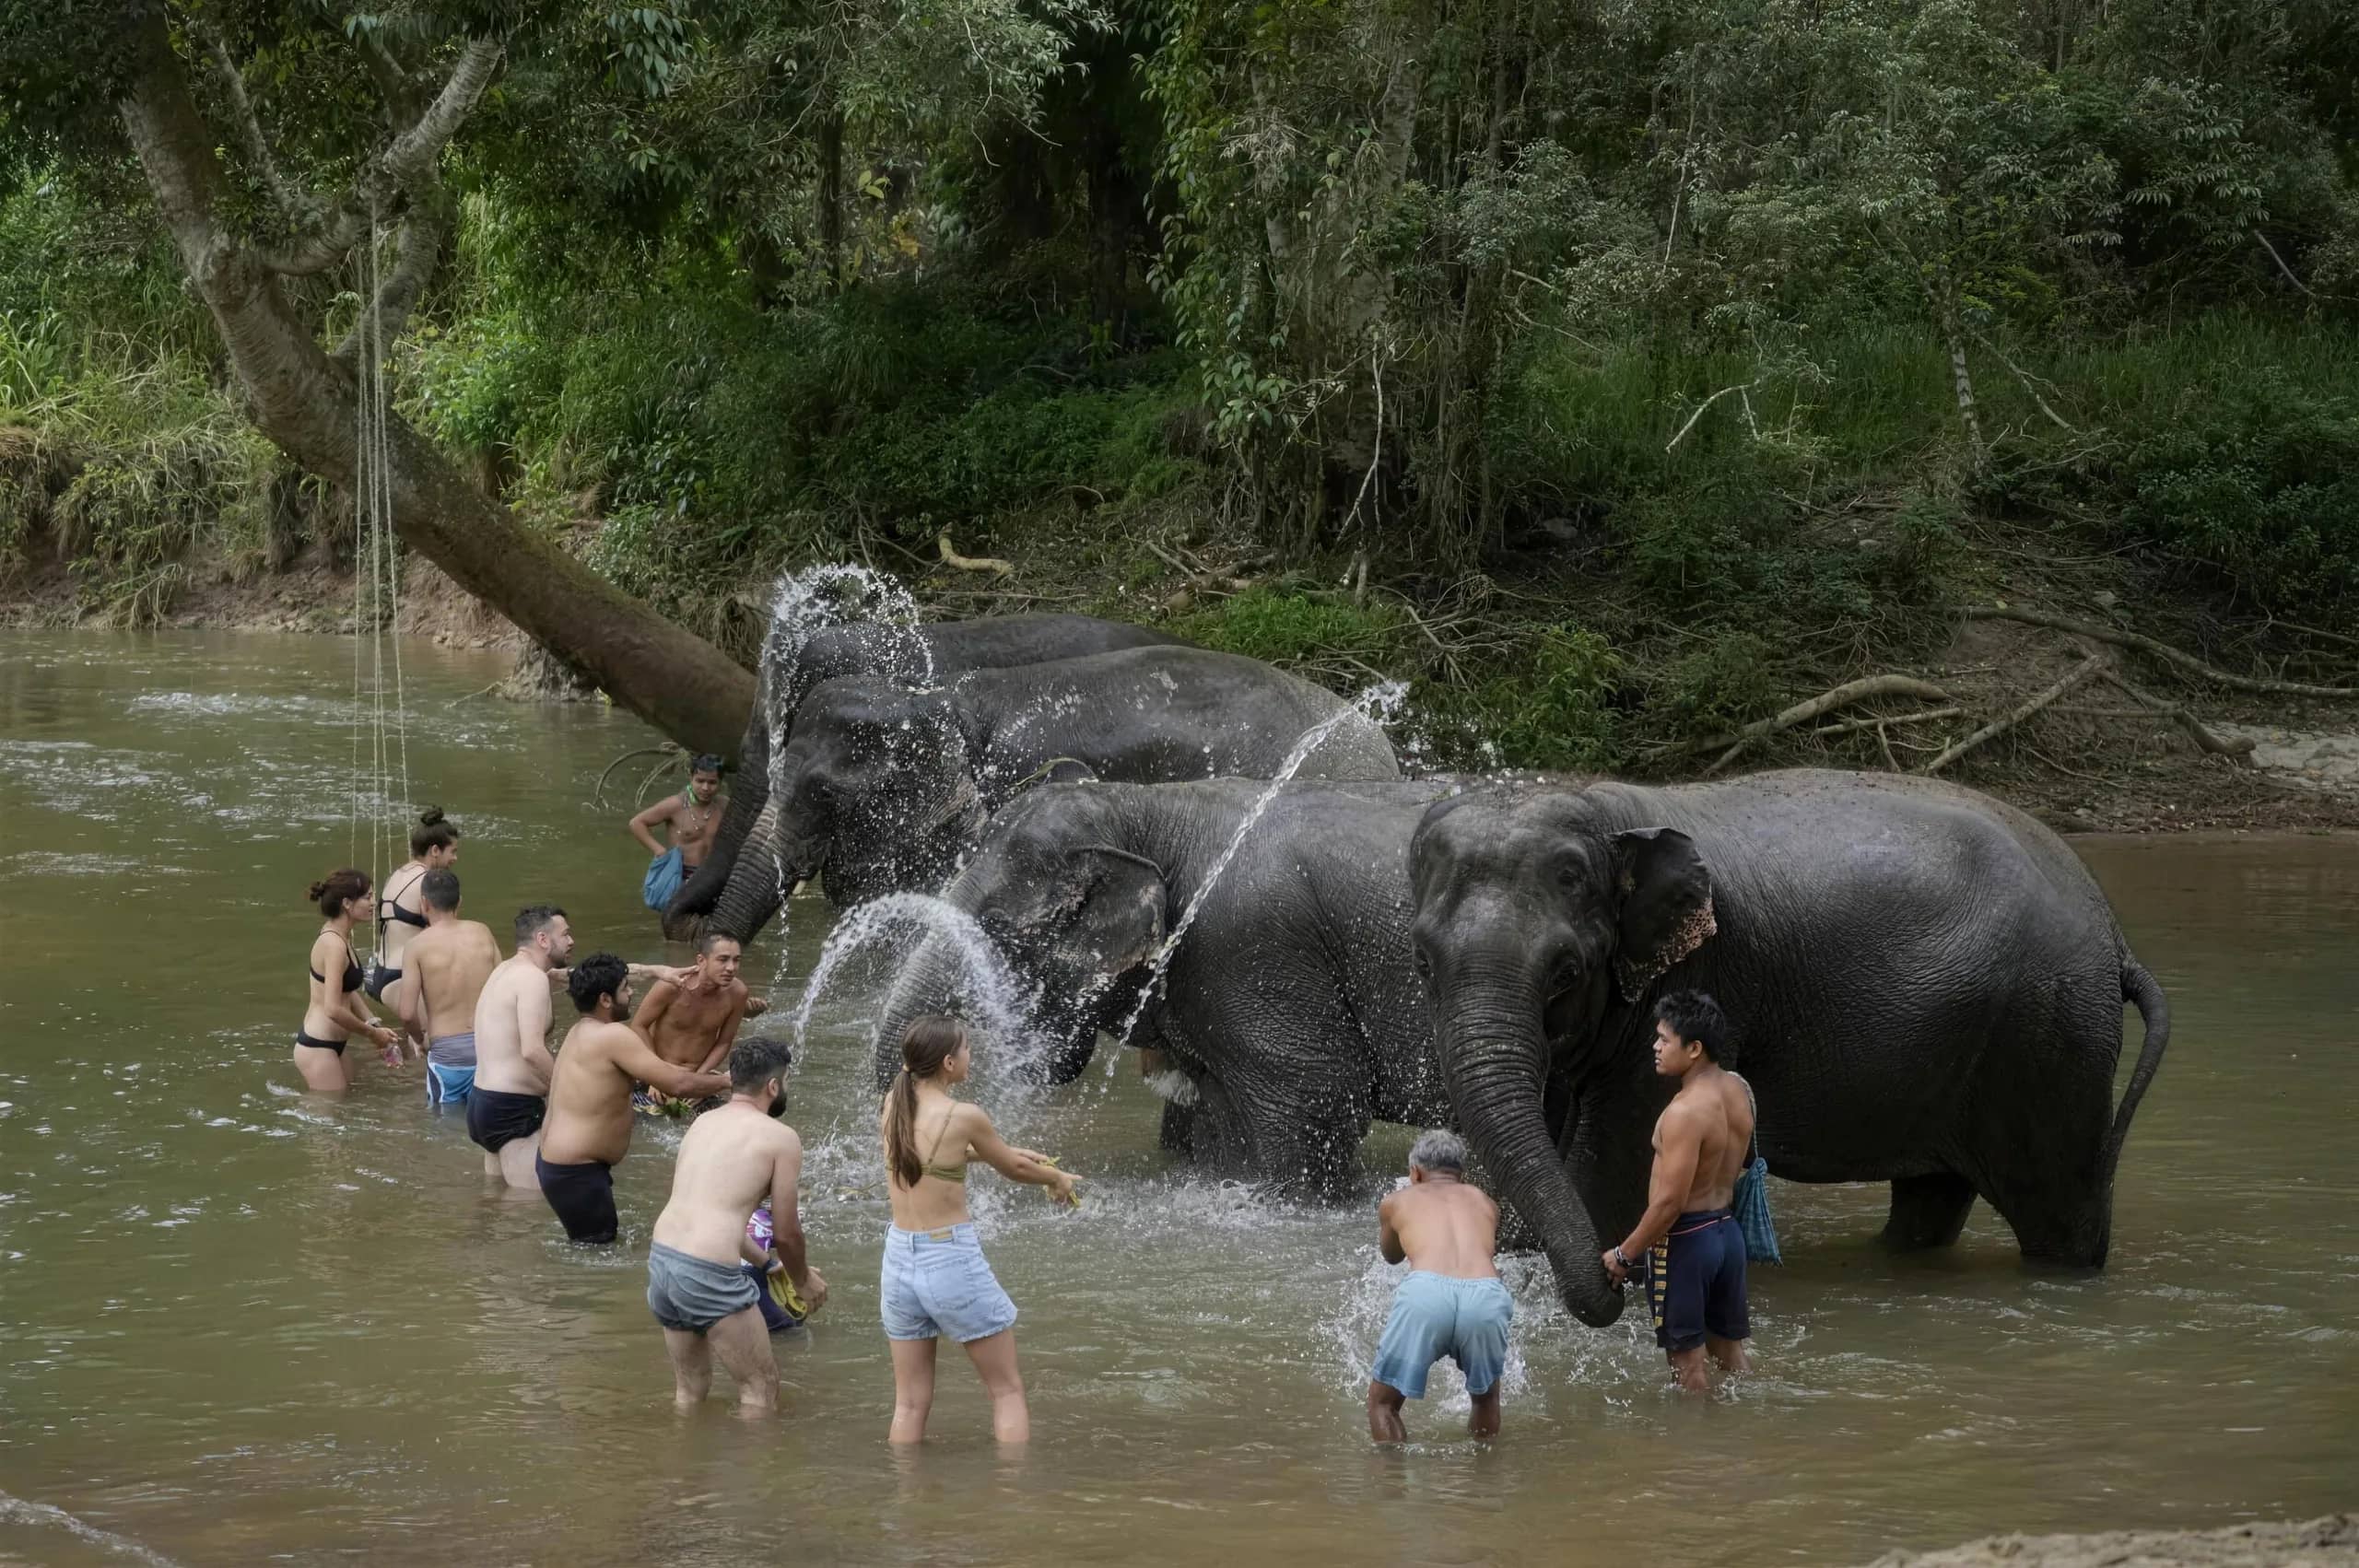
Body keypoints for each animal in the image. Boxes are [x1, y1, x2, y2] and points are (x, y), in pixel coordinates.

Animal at [1406, 769, 2172, 1327]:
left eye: (1566, 971)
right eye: (1421, 962)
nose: (1616, 1284)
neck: (1605, 810)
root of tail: (2113, 933)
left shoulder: (1693, 987)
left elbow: (1605, 1180)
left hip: (2049, 1040)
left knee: (2058, 1214)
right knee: (1930, 1199)